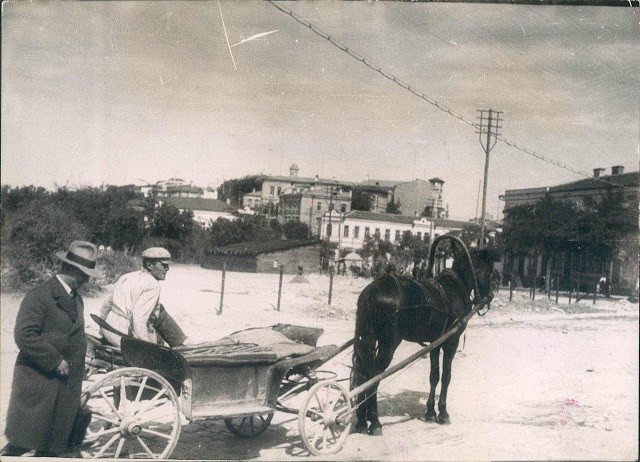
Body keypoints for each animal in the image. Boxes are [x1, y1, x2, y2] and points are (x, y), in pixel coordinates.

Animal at [350, 236, 496, 434]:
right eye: (488, 271)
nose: (490, 295)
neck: (454, 288)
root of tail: (372, 289)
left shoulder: (435, 343)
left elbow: (434, 375)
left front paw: (430, 412)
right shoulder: (451, 342)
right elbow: (446, 376)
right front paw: (443, 413)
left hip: (368, 339)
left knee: (363, 374)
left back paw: (361, 421)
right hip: (388, 345)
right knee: (374, 376)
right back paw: (375, 422)